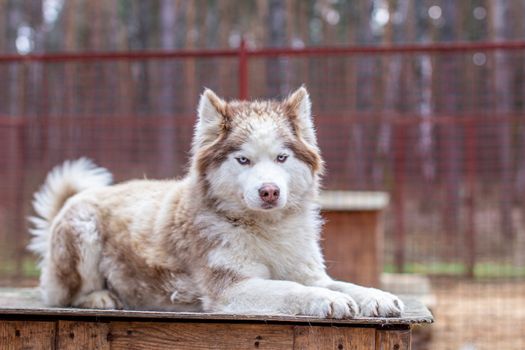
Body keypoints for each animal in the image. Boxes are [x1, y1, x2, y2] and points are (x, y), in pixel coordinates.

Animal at [28, 87, 404, 318]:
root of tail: (75, 199)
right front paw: (326, 300)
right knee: (63, 295)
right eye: (243, 160)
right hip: (83, 228)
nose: (269, 191)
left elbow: (341, 283)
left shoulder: (309, 272)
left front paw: (375, 296)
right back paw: (100, 297)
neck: (265, 230)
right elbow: (290, 288)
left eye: (281, 158)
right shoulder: (231, 289)